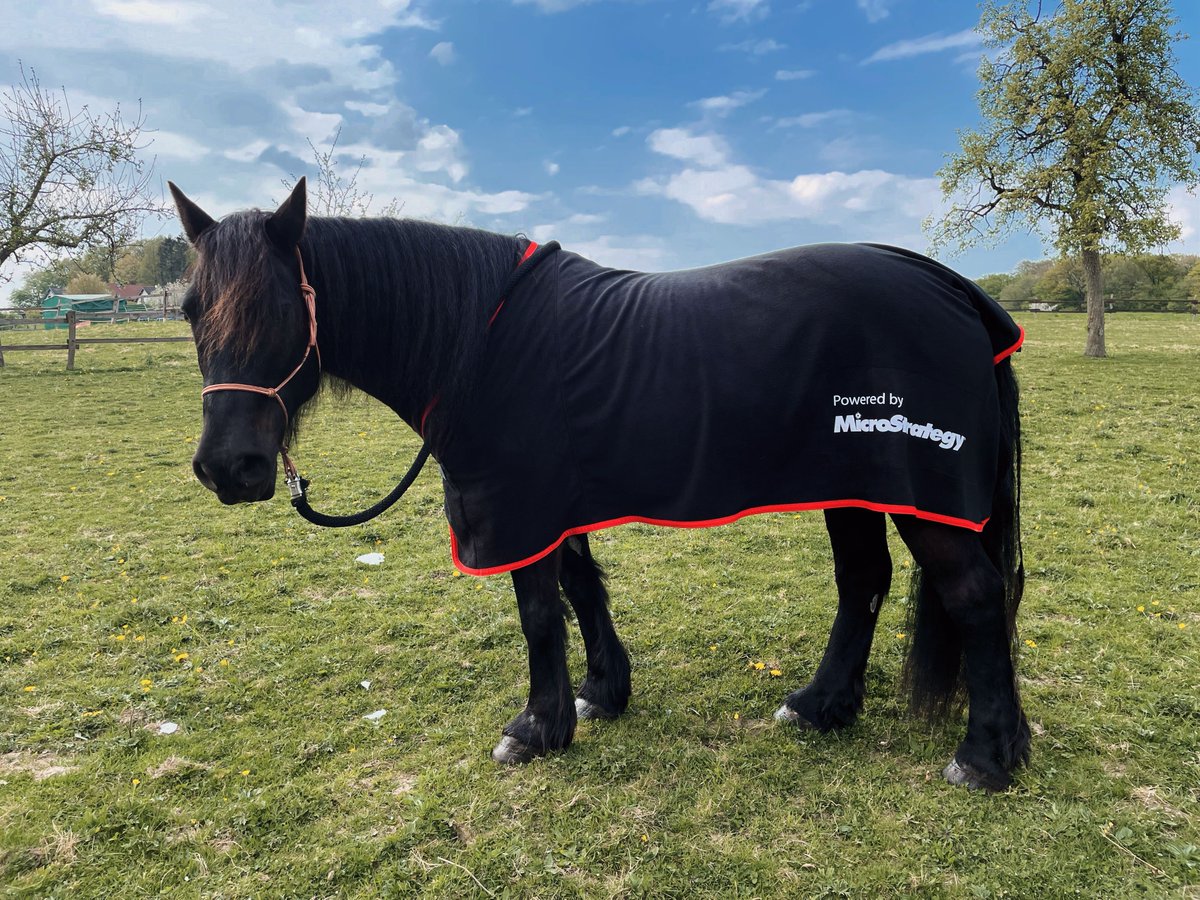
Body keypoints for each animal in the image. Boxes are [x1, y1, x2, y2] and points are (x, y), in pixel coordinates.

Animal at [170, 178, 1031, 791]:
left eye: (278, 307)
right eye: (189, 309)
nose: (227, 468)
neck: (478, 340)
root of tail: (956, 290)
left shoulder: (516, 504)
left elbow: (537, 613)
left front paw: (537, 728)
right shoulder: (552, 503)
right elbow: (581, 588)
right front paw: (602, 693)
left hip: (918, 498)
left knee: (975, 597)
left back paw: (985, 757)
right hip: (853, 486)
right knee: (864, 582)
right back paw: (820, 708)